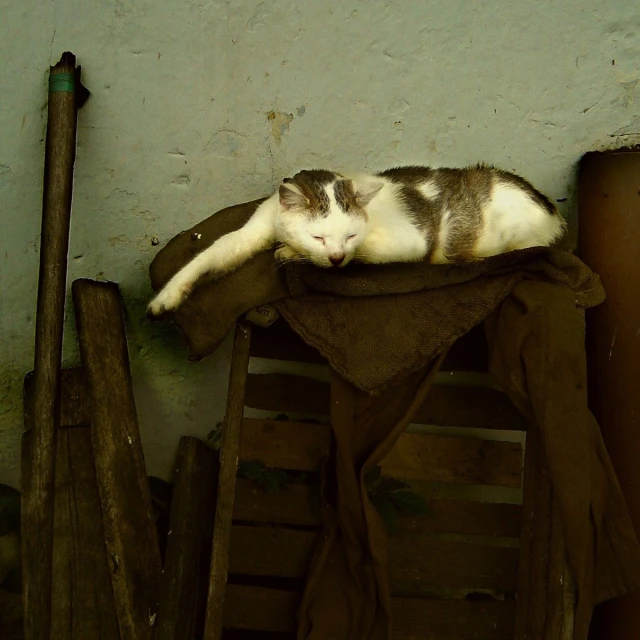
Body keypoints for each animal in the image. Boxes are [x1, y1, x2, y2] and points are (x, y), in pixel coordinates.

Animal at [146, 162, 564, 318]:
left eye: (348, 234)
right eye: (318, 234)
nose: (335, 259)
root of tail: (550, 207)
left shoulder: (410, 241)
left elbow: (364, 251)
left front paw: (291, 252)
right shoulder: (256, 227)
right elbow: (214, 251)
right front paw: (169, 296)